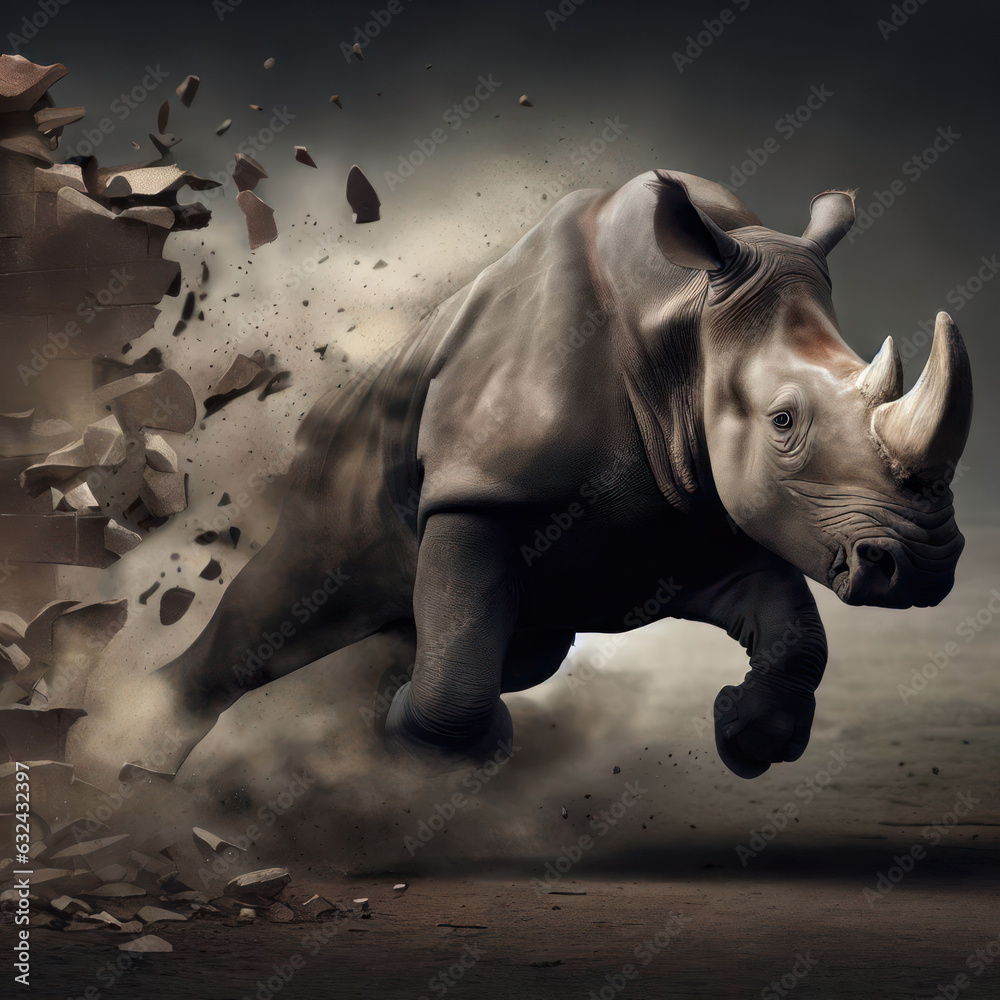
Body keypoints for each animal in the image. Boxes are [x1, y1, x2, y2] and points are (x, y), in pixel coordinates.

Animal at [116, 169, 972, 783]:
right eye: (784, 422)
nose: (924, 565)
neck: (682, 322)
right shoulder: (478, 491)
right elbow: (457, 682)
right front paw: (441, 742)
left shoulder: (705, 519)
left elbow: (798, 635)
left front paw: (744, 735)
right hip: (337, 468)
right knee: (292, 593)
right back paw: (133, 776)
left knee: (498, 645)